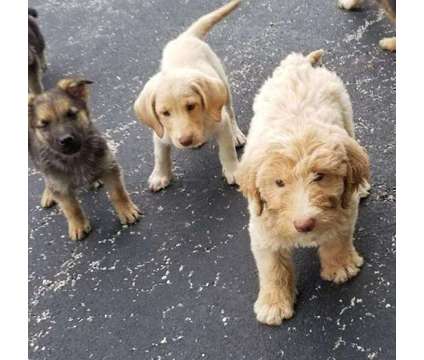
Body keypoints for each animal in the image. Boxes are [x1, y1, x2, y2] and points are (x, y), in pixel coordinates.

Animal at [132, 0, 245, 191]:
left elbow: (227, 150)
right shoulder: (160, 133)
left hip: (223, 85)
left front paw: (233, 170)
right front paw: (160, 175)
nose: (185, 140)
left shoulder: (221, 123)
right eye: (164, 113)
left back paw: (236, 133)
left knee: (230, 111)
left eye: (191, 106)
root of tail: (185, 37)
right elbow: (160, 156)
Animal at [237, 50, 370, 326]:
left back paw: (360, 186)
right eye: (279, 183)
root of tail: (297, 62)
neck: (294, 126)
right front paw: (274, 304)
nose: (304, 225)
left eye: (320, 176)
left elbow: (338, 237)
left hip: (346, 112)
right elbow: (272, 267)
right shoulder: (262, 225)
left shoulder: (343, 209)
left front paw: (341, 266)